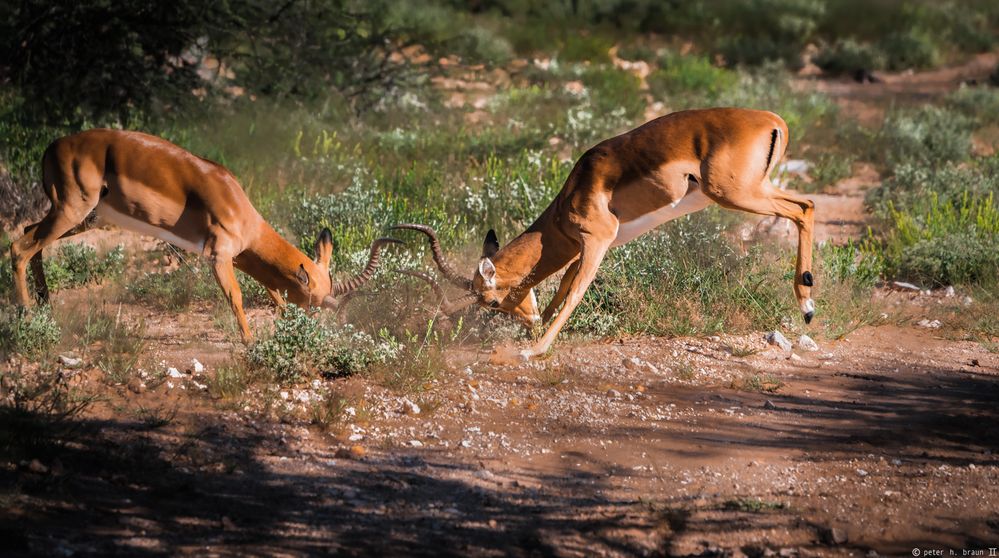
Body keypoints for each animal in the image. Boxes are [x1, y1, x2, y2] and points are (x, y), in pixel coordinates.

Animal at [8, 130, 398, 342]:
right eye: (317, 304)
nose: (315, 331)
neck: (239, 207)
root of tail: (52, 146)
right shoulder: (218, 255)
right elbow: (237, 297)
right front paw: (249, 341)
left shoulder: (241, 257)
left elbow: (274, 293)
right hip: (73, 209)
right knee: (18, 247)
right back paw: (26, 316)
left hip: (83, 217)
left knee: (29, 237)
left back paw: (47, 306)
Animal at [394, 107, 816, 366]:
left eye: (491, 301)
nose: (528, 323)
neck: (568, 203)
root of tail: (772, 120)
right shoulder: (588, 248)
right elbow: (562, 287)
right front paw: (536, 335)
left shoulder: (596, 242)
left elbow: (574, 294)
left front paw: (533, 351)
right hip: (756, 190)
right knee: (807, 204)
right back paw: (807, 304)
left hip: (736, 194)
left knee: (803, 209)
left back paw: (807, 305)